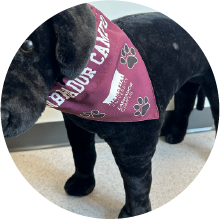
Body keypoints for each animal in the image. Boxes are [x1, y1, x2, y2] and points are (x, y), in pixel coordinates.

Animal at [0, 3, 219, 217]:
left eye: (27, 46)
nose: (2, 117)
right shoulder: (75, 125)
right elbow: (83, 154)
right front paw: (83, 184)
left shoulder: (136, 146)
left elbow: (136, 183)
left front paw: (135, 212)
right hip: (188, 84)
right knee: (185, 106)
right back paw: (176, 135)